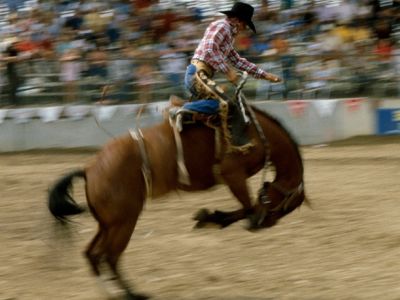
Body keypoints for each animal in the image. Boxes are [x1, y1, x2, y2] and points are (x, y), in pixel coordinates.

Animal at [48, 103, 308, 300]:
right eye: (284, 206)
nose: (262, 225)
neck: (258, 132)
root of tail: (89, 169)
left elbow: (247, 208)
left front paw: (209, 218)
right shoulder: (232, 173)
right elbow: (247, 207)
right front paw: (210, 218)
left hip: (107, 224)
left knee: (92, 254)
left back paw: (110, 292)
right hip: (124, 222)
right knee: (109, 256)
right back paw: (133, 294)